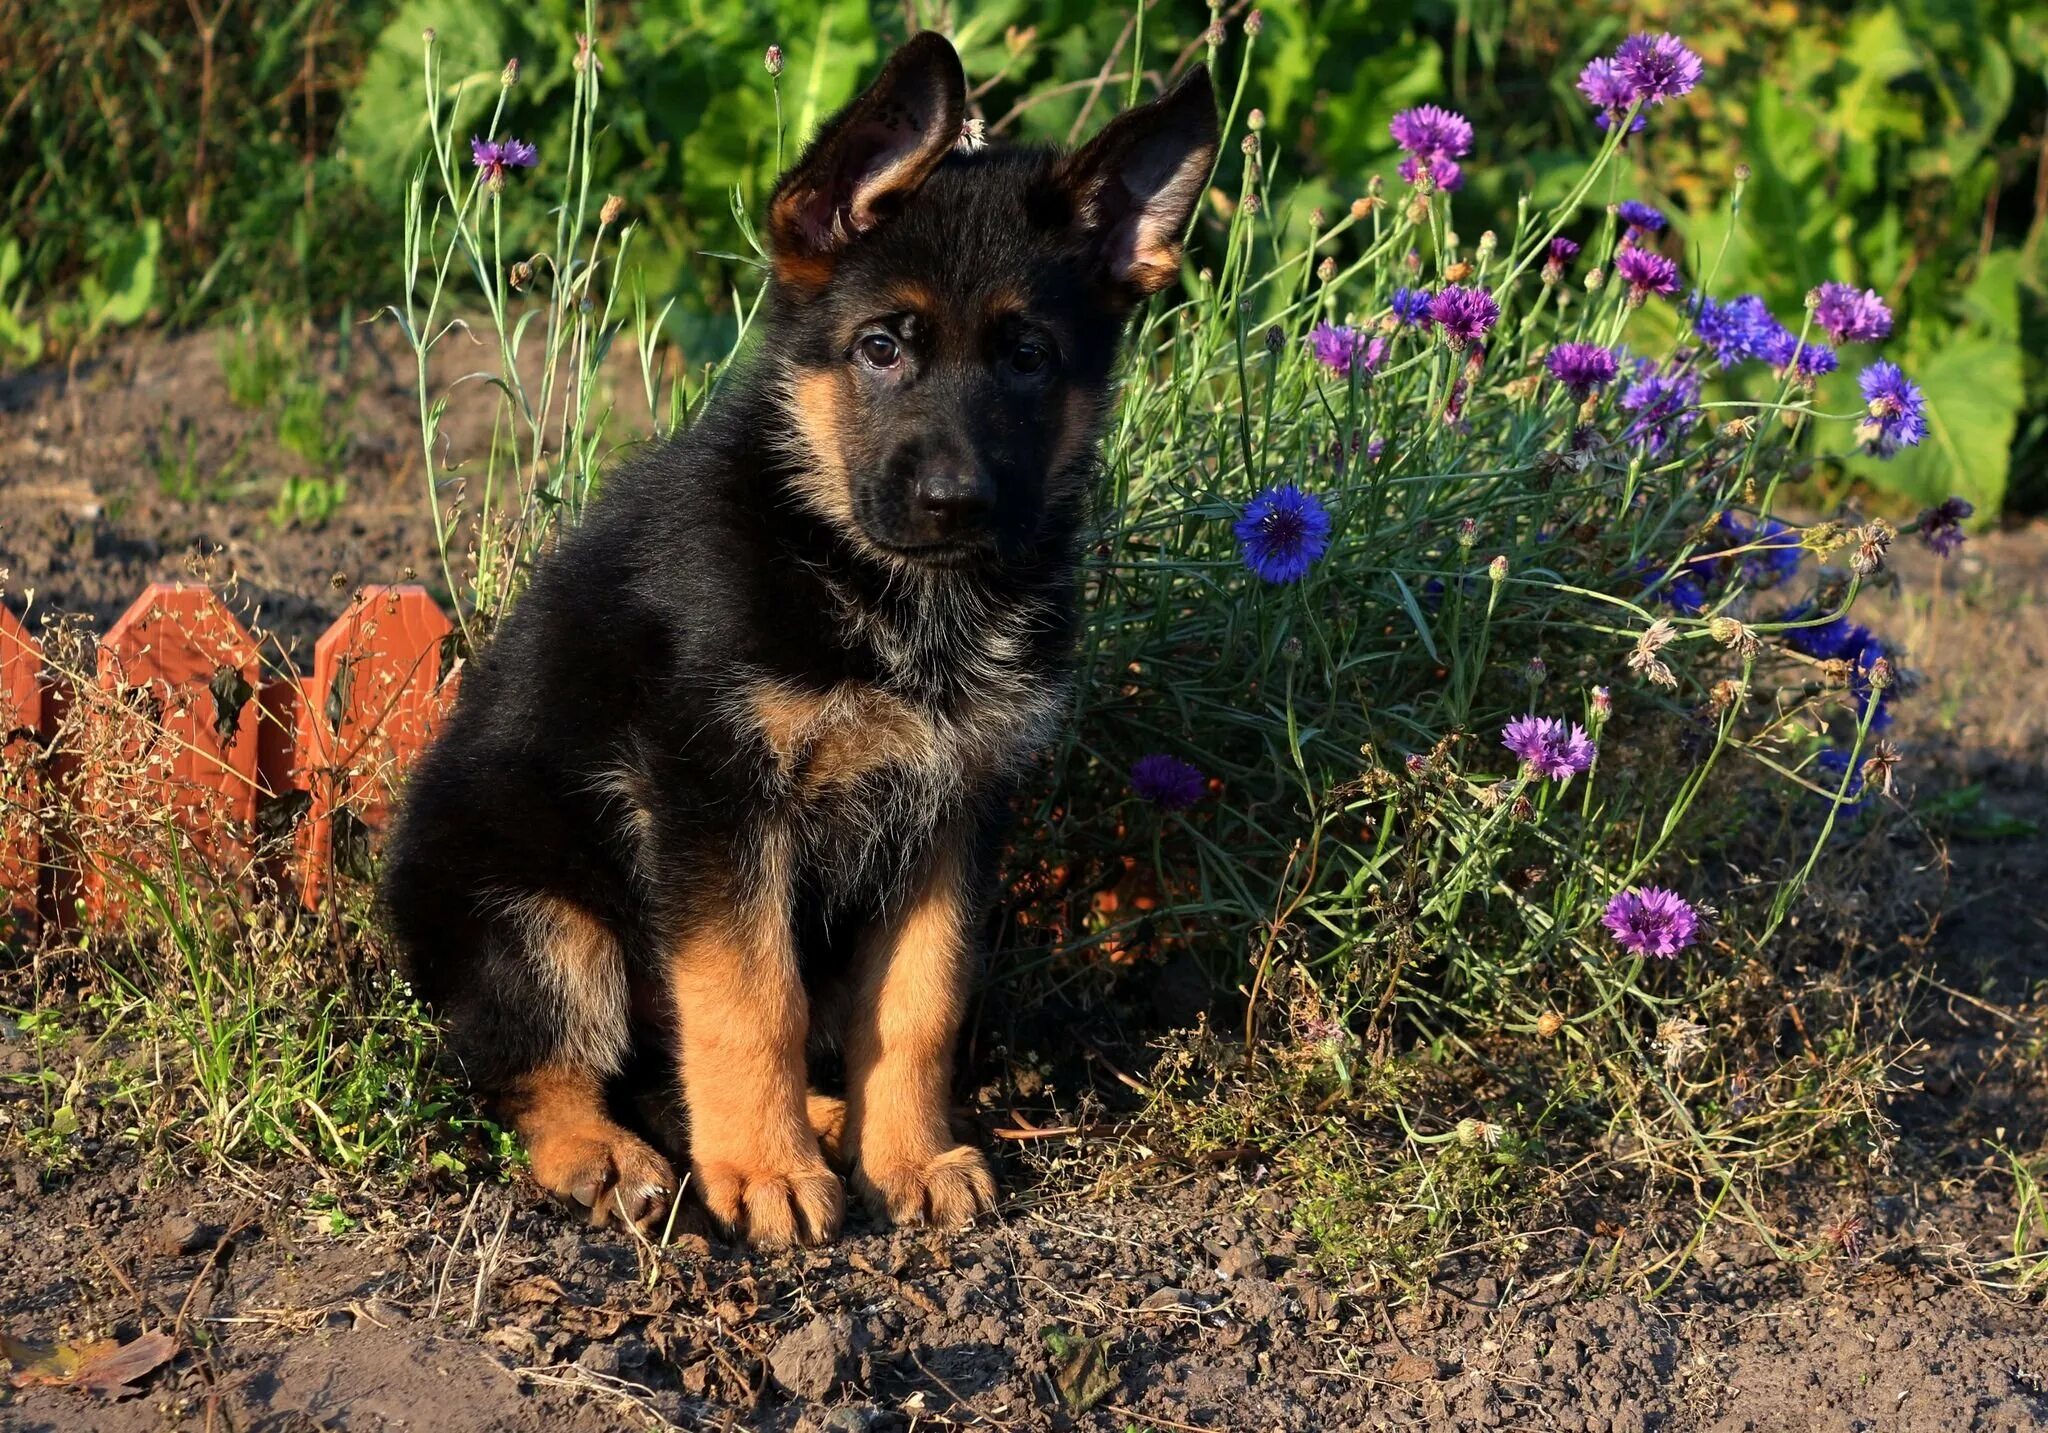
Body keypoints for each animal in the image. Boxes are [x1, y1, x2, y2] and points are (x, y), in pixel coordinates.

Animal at [380, 30, 1212, 1244]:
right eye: (880, 347)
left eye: (1028, 357)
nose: (955, 504)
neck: (882, 587)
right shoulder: (715, 796)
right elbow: (744, 995)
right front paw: (766, 1172)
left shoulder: (951, 810)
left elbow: (916, 1004)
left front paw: (902, 1154)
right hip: (535, 911)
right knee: (526, 1063)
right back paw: (610, 1155)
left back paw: (821, 1119)